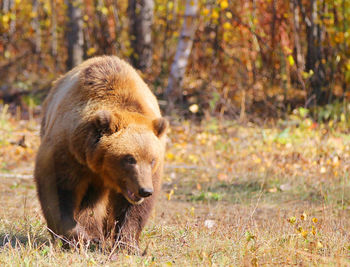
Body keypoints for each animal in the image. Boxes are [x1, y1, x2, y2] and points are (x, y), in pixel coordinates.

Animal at [34, 55, 168, 250]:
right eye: (129, 159)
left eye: (152, 159)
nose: (144, 190)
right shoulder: (67, 153)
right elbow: (58, 191)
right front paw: (78, 237)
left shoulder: (151, 174)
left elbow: (134, 211)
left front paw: (127, 243)